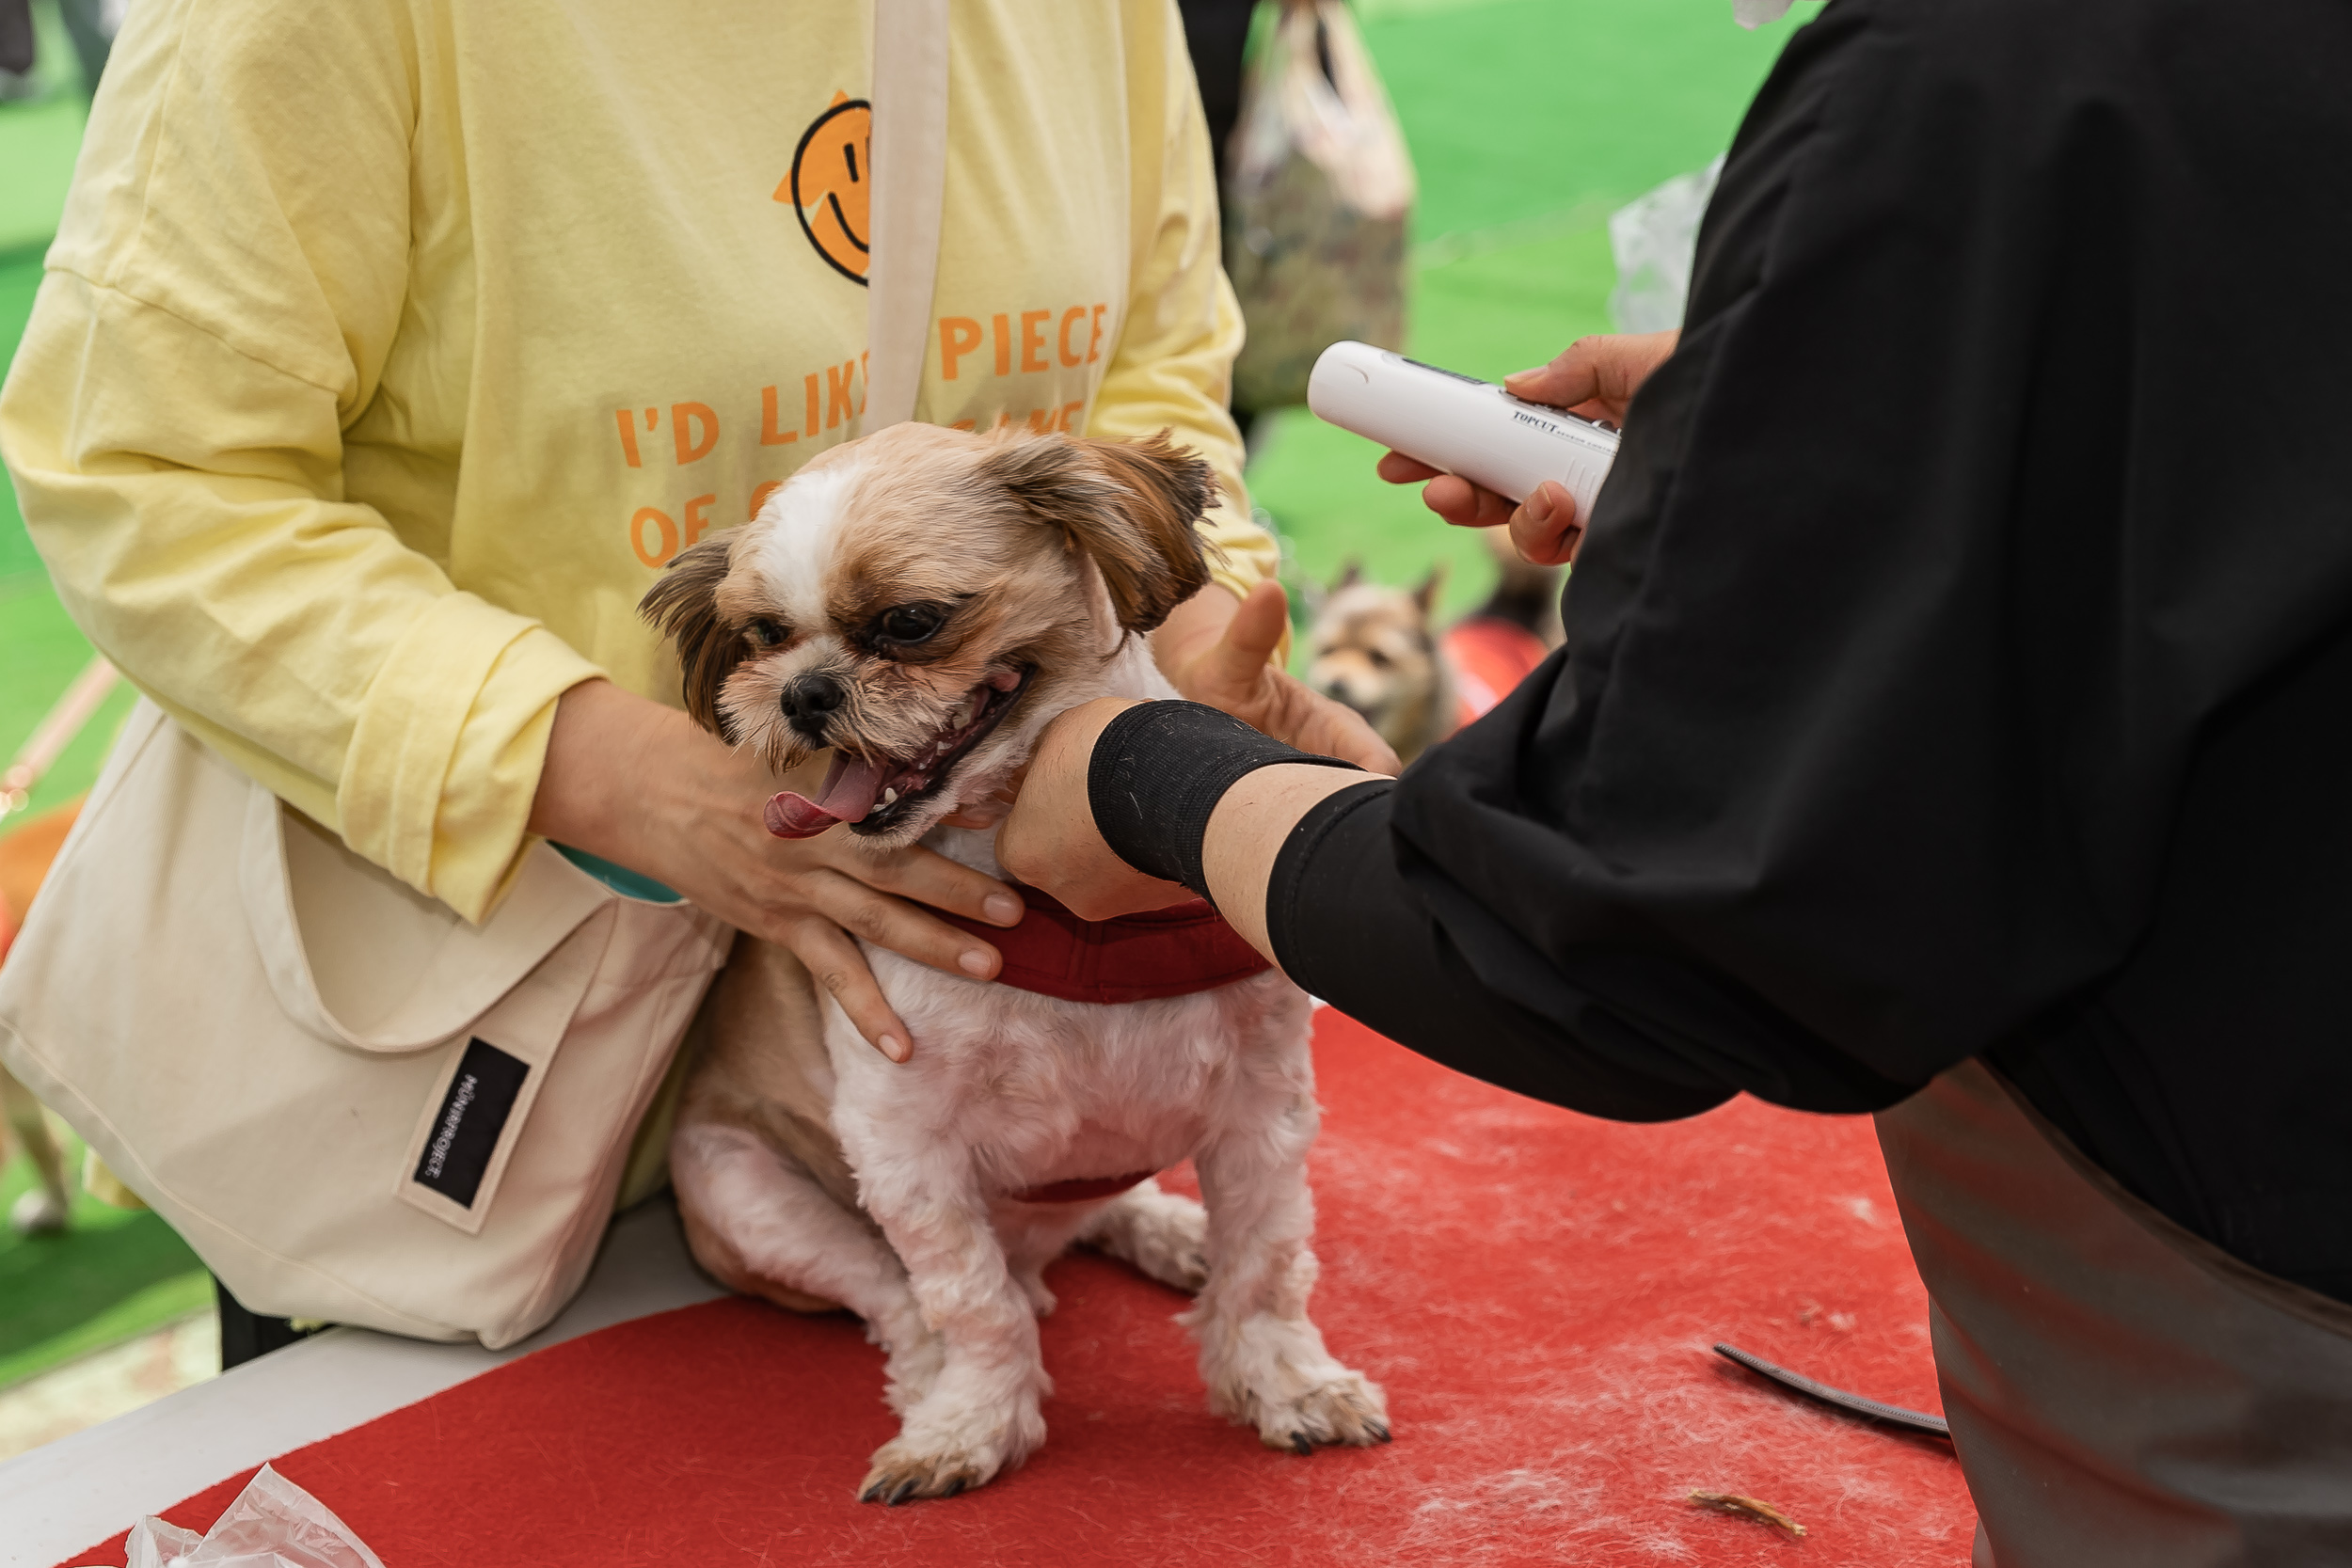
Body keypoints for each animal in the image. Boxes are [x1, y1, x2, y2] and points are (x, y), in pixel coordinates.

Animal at [635, 430, 1383, 1504]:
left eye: (910, 621)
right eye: (765, 634)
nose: (804, 691)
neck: (1066, 916)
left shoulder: (1262, 1107)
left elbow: (1268, 1260)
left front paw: (1286, 1381)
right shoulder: (903, 1146)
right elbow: (970, 1300)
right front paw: (976, 1422)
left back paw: (1170, 1233)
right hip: (742, 1190)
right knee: (902, 1297)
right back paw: (933, 1382)